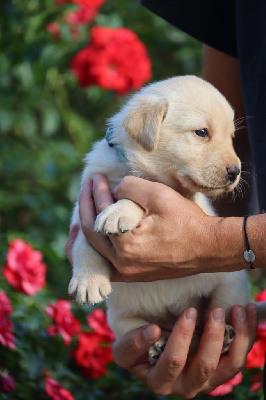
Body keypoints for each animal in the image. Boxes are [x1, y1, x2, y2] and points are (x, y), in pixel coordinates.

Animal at [69, 75, 251, 362]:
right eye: (202, 132)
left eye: (231, 137)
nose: (235, 172)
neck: (132, 169)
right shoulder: (81, 210)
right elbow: (84, 241)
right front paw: (88, 280)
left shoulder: (184, 201)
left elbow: (141, 196)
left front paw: (119, 211)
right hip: (120, 319)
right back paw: (160, 344)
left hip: (231, 284)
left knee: (217, 314)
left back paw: (223, 335)